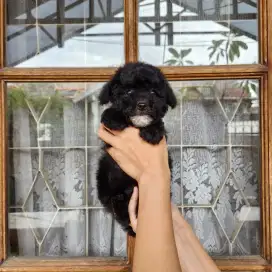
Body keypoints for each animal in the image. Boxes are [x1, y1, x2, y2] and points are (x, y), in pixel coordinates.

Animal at [95, 61, 176, 236]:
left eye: (153, 92)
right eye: (129, 92)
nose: (142, 105)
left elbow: (158, 123)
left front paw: (153, 131)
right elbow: (112, 113)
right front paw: (113, 117)